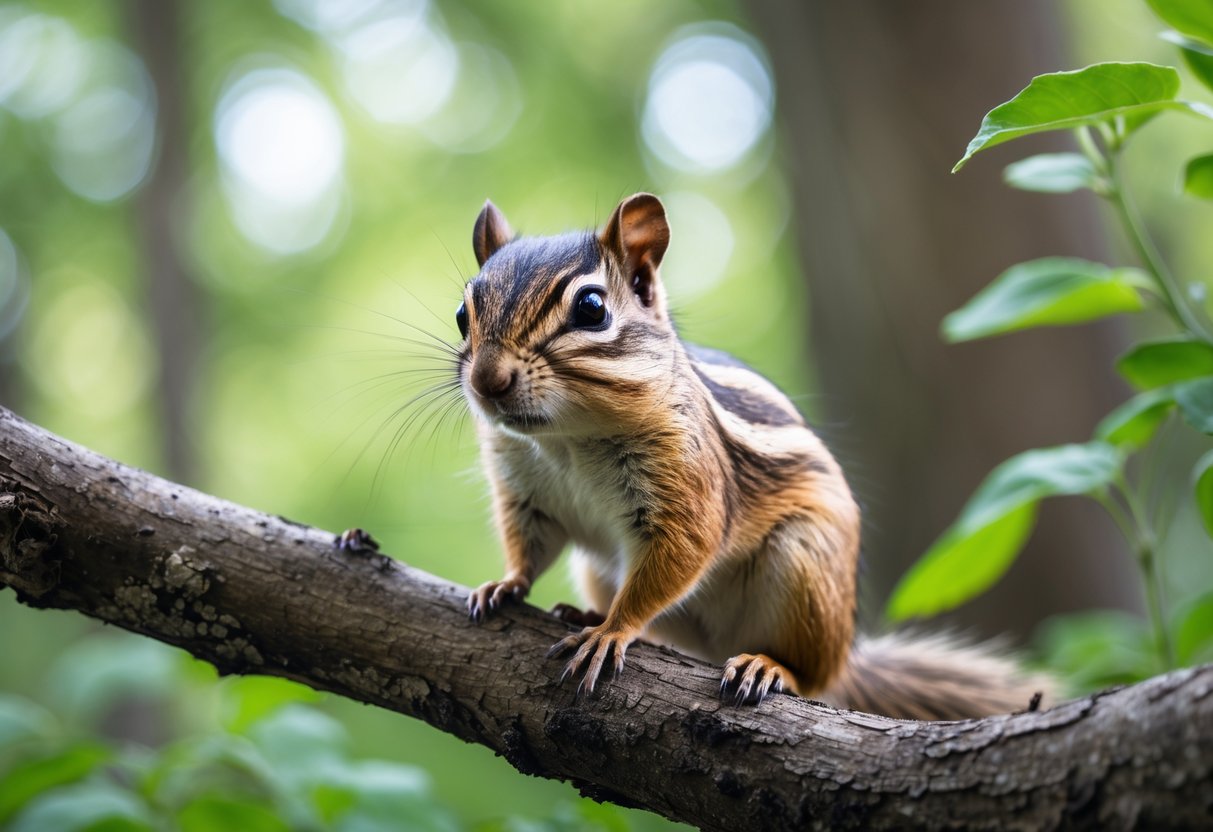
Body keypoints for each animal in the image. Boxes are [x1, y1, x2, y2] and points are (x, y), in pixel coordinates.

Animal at [458, 193, 1050, 719]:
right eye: (464, 314)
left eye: (591, 308)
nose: (488, 380)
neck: (567, 440)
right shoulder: (523, 491)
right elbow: (528, 545)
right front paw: (506, 584)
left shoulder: (688, 485)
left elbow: (679, 554)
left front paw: (611, 630)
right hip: (602, 571)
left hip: (805, 567)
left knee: (811, 675)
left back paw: (768, 666)